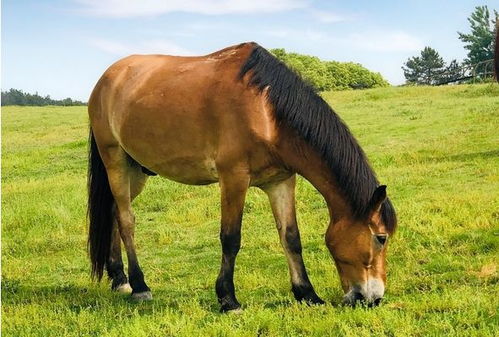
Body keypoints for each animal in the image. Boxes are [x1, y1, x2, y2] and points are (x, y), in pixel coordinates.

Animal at [87, 42, 398, 312]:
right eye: (381, 238)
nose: (373, 298)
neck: (267, 112)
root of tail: (106, 79)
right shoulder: (233, 178)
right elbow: (231, 238)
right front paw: (228, 300)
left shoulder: (281, 181)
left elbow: (291, 237)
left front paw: (307, 294)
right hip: (115, 161)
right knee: (127, 221)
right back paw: (139, 285)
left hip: (136, 172)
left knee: (113, 212)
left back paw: (119, 278)